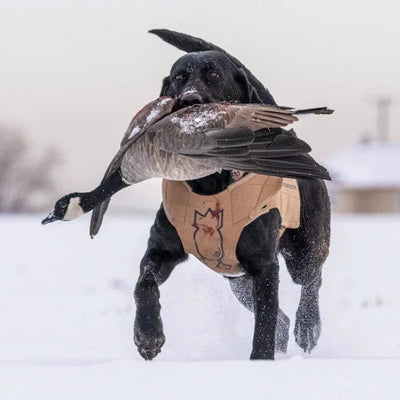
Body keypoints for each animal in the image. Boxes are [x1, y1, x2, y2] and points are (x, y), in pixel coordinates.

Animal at [133, 28, 330, 360]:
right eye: (179, 78)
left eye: (213, 75)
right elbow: (143, 285)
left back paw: (308, 327)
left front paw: (260, 361)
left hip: (306, 244)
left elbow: (264, 321)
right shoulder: (160, 251)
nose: (190, 99)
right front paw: (148, 335)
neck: (210, 182)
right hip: (237, 281)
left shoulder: (264, 265)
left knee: (311, 280)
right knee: (281, 316)